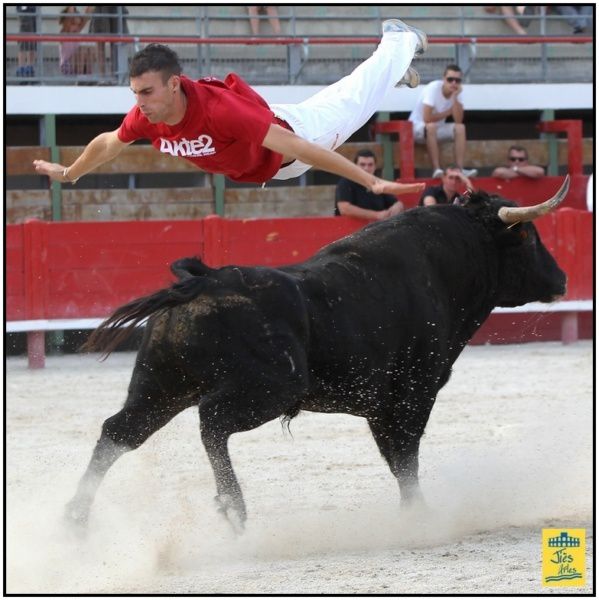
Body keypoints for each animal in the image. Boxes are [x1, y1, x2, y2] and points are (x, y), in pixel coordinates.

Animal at [64, 179, 568, 536]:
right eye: (528, 236)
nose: (561, 279)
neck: (441, 267)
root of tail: (203, 280)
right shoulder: (414, 391)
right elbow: (406, 456)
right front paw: (418, 517)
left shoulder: (380, 404)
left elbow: (395, 457)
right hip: (270, 388)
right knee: (211, 423)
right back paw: (234, 509)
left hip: (160, 385)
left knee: (119, 433)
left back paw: (74, 521)